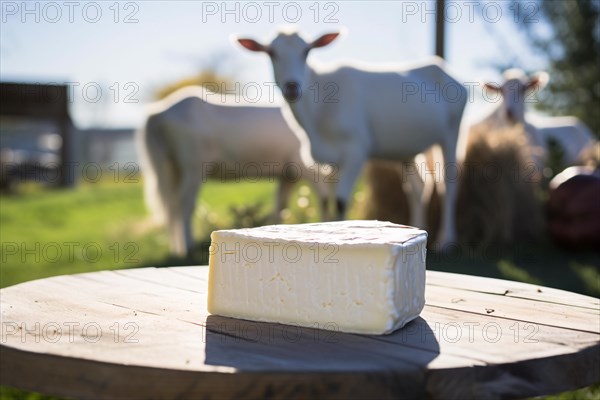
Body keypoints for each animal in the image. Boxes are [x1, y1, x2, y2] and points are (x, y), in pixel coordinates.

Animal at [137, 86, 332, 258]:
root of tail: (160, 110)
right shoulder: (304, 166)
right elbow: (323, 199)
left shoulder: (288, 174)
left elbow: (280, 206)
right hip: (193, 166)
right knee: (184, 204)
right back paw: (188, 249)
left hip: (172, 166)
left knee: (171, 205)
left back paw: (176, 250)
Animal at [237, 29, 466, 245]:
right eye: (272, 53)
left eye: (306, 51)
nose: (292, 87)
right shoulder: (332, 160)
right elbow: (330, 200)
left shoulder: (356, 149)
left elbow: (340, 201)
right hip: (407, 148)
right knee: (419, 187)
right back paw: (419, 228)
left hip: (451, 132)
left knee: (449, 185)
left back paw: (447, 240)